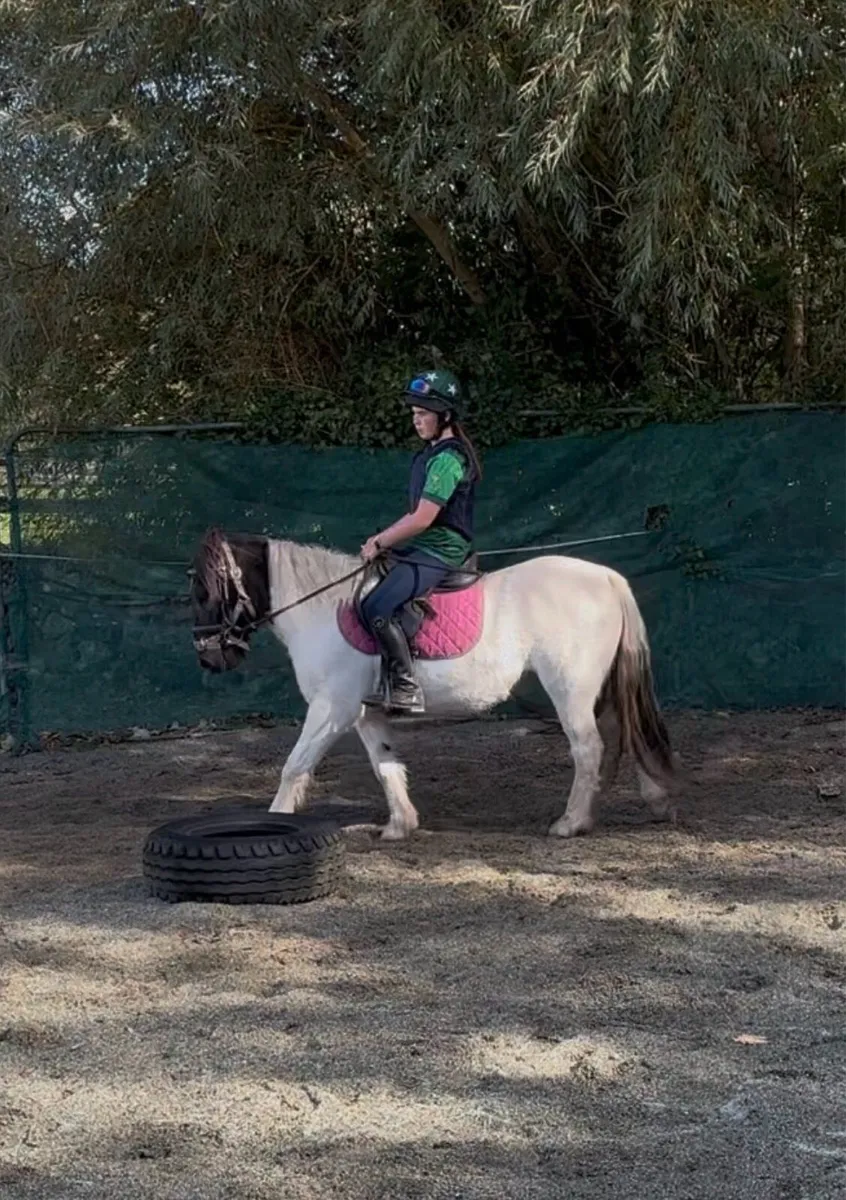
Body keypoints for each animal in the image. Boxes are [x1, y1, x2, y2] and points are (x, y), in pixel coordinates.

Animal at [189, 527, 677, 840]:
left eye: (206, 590)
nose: (210, 657)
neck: (322, 609)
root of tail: (606, 577)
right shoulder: (364, 713)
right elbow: (385, 764)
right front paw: (400, 825)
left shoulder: (332, 708)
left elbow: (294, 765)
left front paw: (275, 821)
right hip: (600, 687)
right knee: (621, 733)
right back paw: (641, 802)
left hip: (570, 689)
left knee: (588, 747)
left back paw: (571, 823)